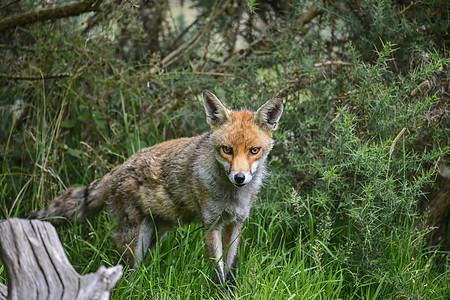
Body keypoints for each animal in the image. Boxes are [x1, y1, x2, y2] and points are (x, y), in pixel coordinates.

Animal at [27, 89, 282, 290]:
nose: (239, 178)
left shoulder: (236, 223)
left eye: (254, 150)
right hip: (135, 242)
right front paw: (220, 294)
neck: (232, 196)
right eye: (227, 150)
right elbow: (218, 274)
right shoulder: (212, 225)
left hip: (155, 236)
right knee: (127, 278)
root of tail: (119, 167)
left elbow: (230, 271)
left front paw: (232, 293)